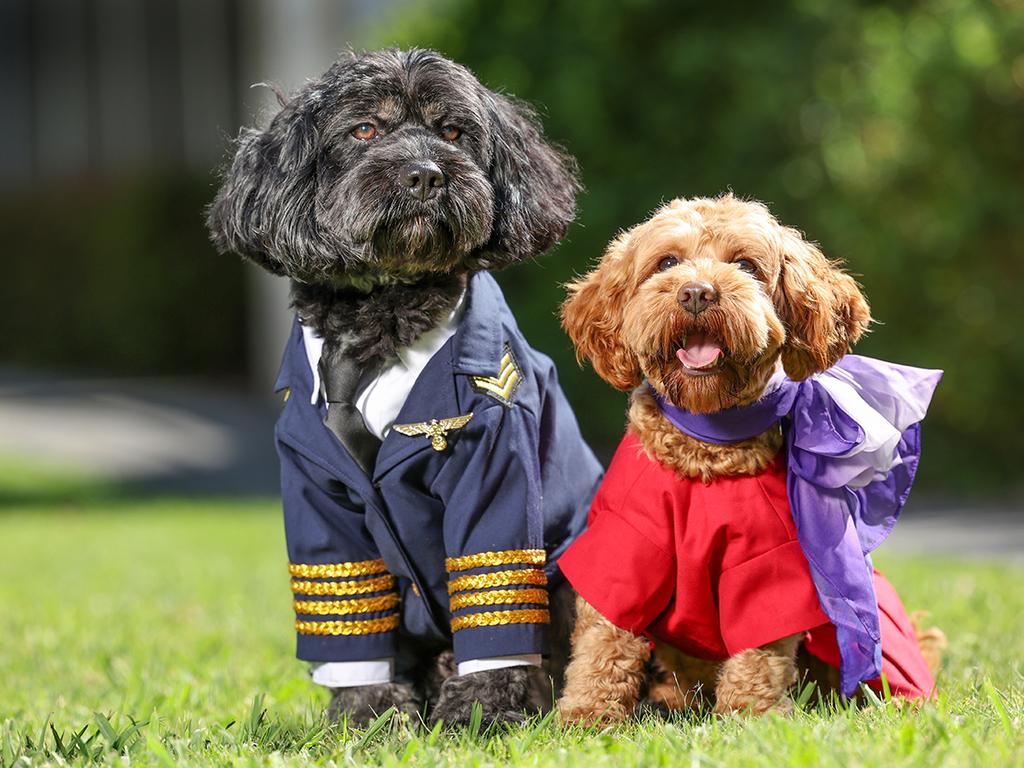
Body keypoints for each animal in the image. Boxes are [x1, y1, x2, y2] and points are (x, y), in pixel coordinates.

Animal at [210, 48, 602, 729]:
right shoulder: (317, 497)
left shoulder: (494, 464)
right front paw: (368, 714)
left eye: (454, 132)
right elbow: (348, 610)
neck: (379, 321)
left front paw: (481, 711)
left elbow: (492, 587)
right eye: (365, 129)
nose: (425, 176)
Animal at [552, 195, 942, 724]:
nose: (697, 293)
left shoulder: (769, 560)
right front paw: (587, 717)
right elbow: (605, 638)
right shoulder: (626, 540)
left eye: (746, 265)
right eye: (667, 262)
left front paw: (750, 719)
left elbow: (761, 647)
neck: (706, 449)